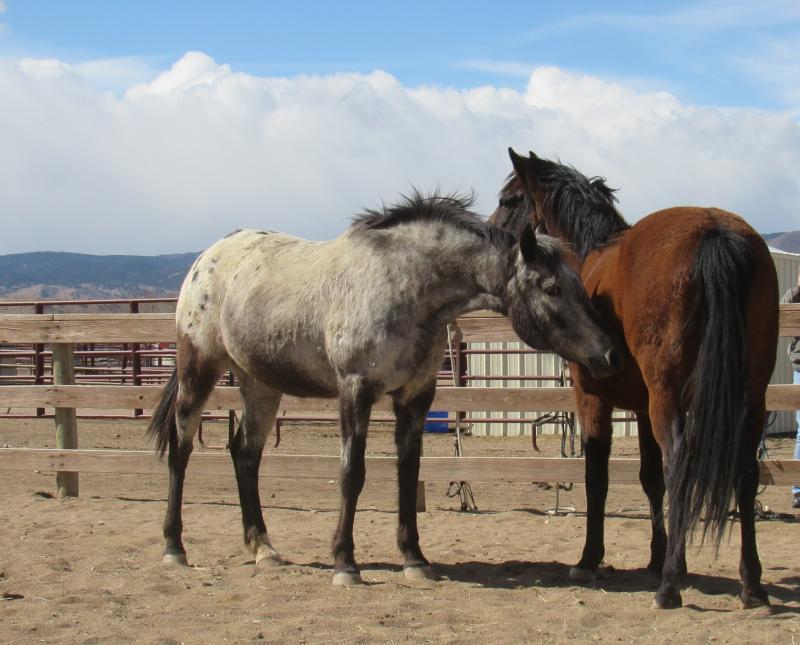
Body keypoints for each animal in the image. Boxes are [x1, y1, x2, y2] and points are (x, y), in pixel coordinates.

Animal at [147, 191, 624, 586]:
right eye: (551, 287)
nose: (609, 353)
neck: (404, 286)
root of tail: (208, 257)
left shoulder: (416, 398)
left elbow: (407, 474)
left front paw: (415, 559)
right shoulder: (356, 391)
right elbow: (352, 474)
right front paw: (345, 564)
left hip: (261, 386)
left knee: (245, 455)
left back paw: (263, 548)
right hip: (199, 371)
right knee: (180, 449)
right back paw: (174, 547)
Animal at [491, 149, 779, 609]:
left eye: (508, 200)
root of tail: (714, 229)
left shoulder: (592, 397)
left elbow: (597, 476)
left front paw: (590, 560)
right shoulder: (643, 409)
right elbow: (649, 479)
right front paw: (656, 557)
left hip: (671, 396)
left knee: (680, 464)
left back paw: (670, 587)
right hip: (751, 397)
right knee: (745, 473)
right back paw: (751, 584)